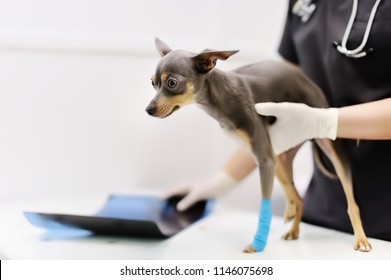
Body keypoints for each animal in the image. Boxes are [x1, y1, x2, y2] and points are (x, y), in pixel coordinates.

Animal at [145, 38, 372, 253]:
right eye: (153, 83)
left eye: (172, 83)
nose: (148, 109)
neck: (221, 96)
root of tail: (309, 83)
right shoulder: (262, 158)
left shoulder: (264, 160)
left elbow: (266, 204)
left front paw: (258, 242)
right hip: (279, 158)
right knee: (297, 198)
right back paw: (293, 227)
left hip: (326, 144)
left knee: (351, 202)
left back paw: (361, 240)